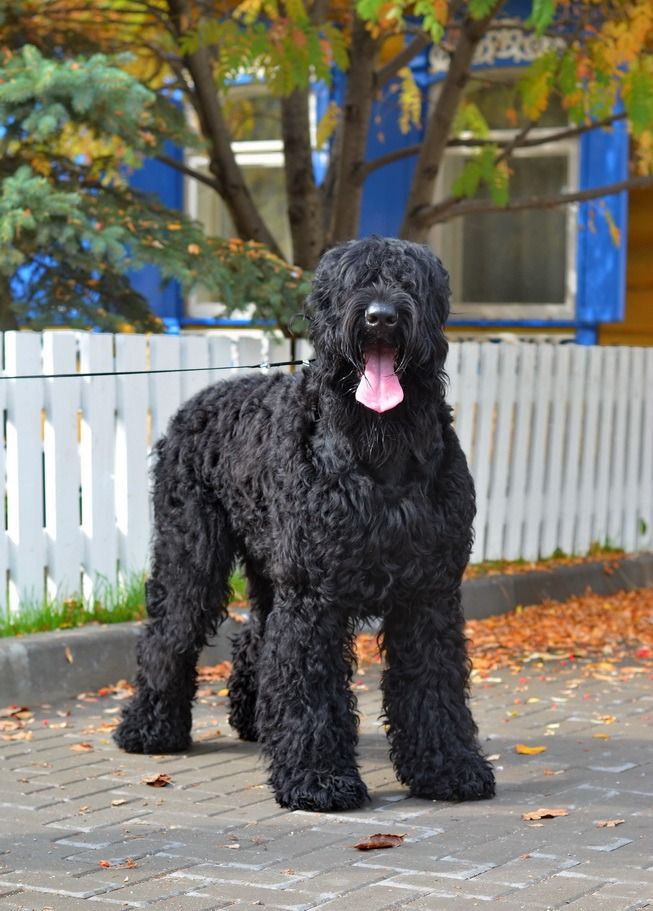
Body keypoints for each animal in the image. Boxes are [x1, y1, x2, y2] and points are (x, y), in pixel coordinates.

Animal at [116, 235, 494, 812]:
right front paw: (317, 779)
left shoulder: (428, 593)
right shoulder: (315, 596)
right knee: (167, 636)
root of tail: (196, 405)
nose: (380, 317)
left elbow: (434, 681)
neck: (379, 453)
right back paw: (149, 728)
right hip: (192, 558)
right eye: (350, 282)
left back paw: (254, 719)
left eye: (409, 281)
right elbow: (309, 685)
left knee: (256, 639)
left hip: (270, 571)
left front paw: (449, 767)